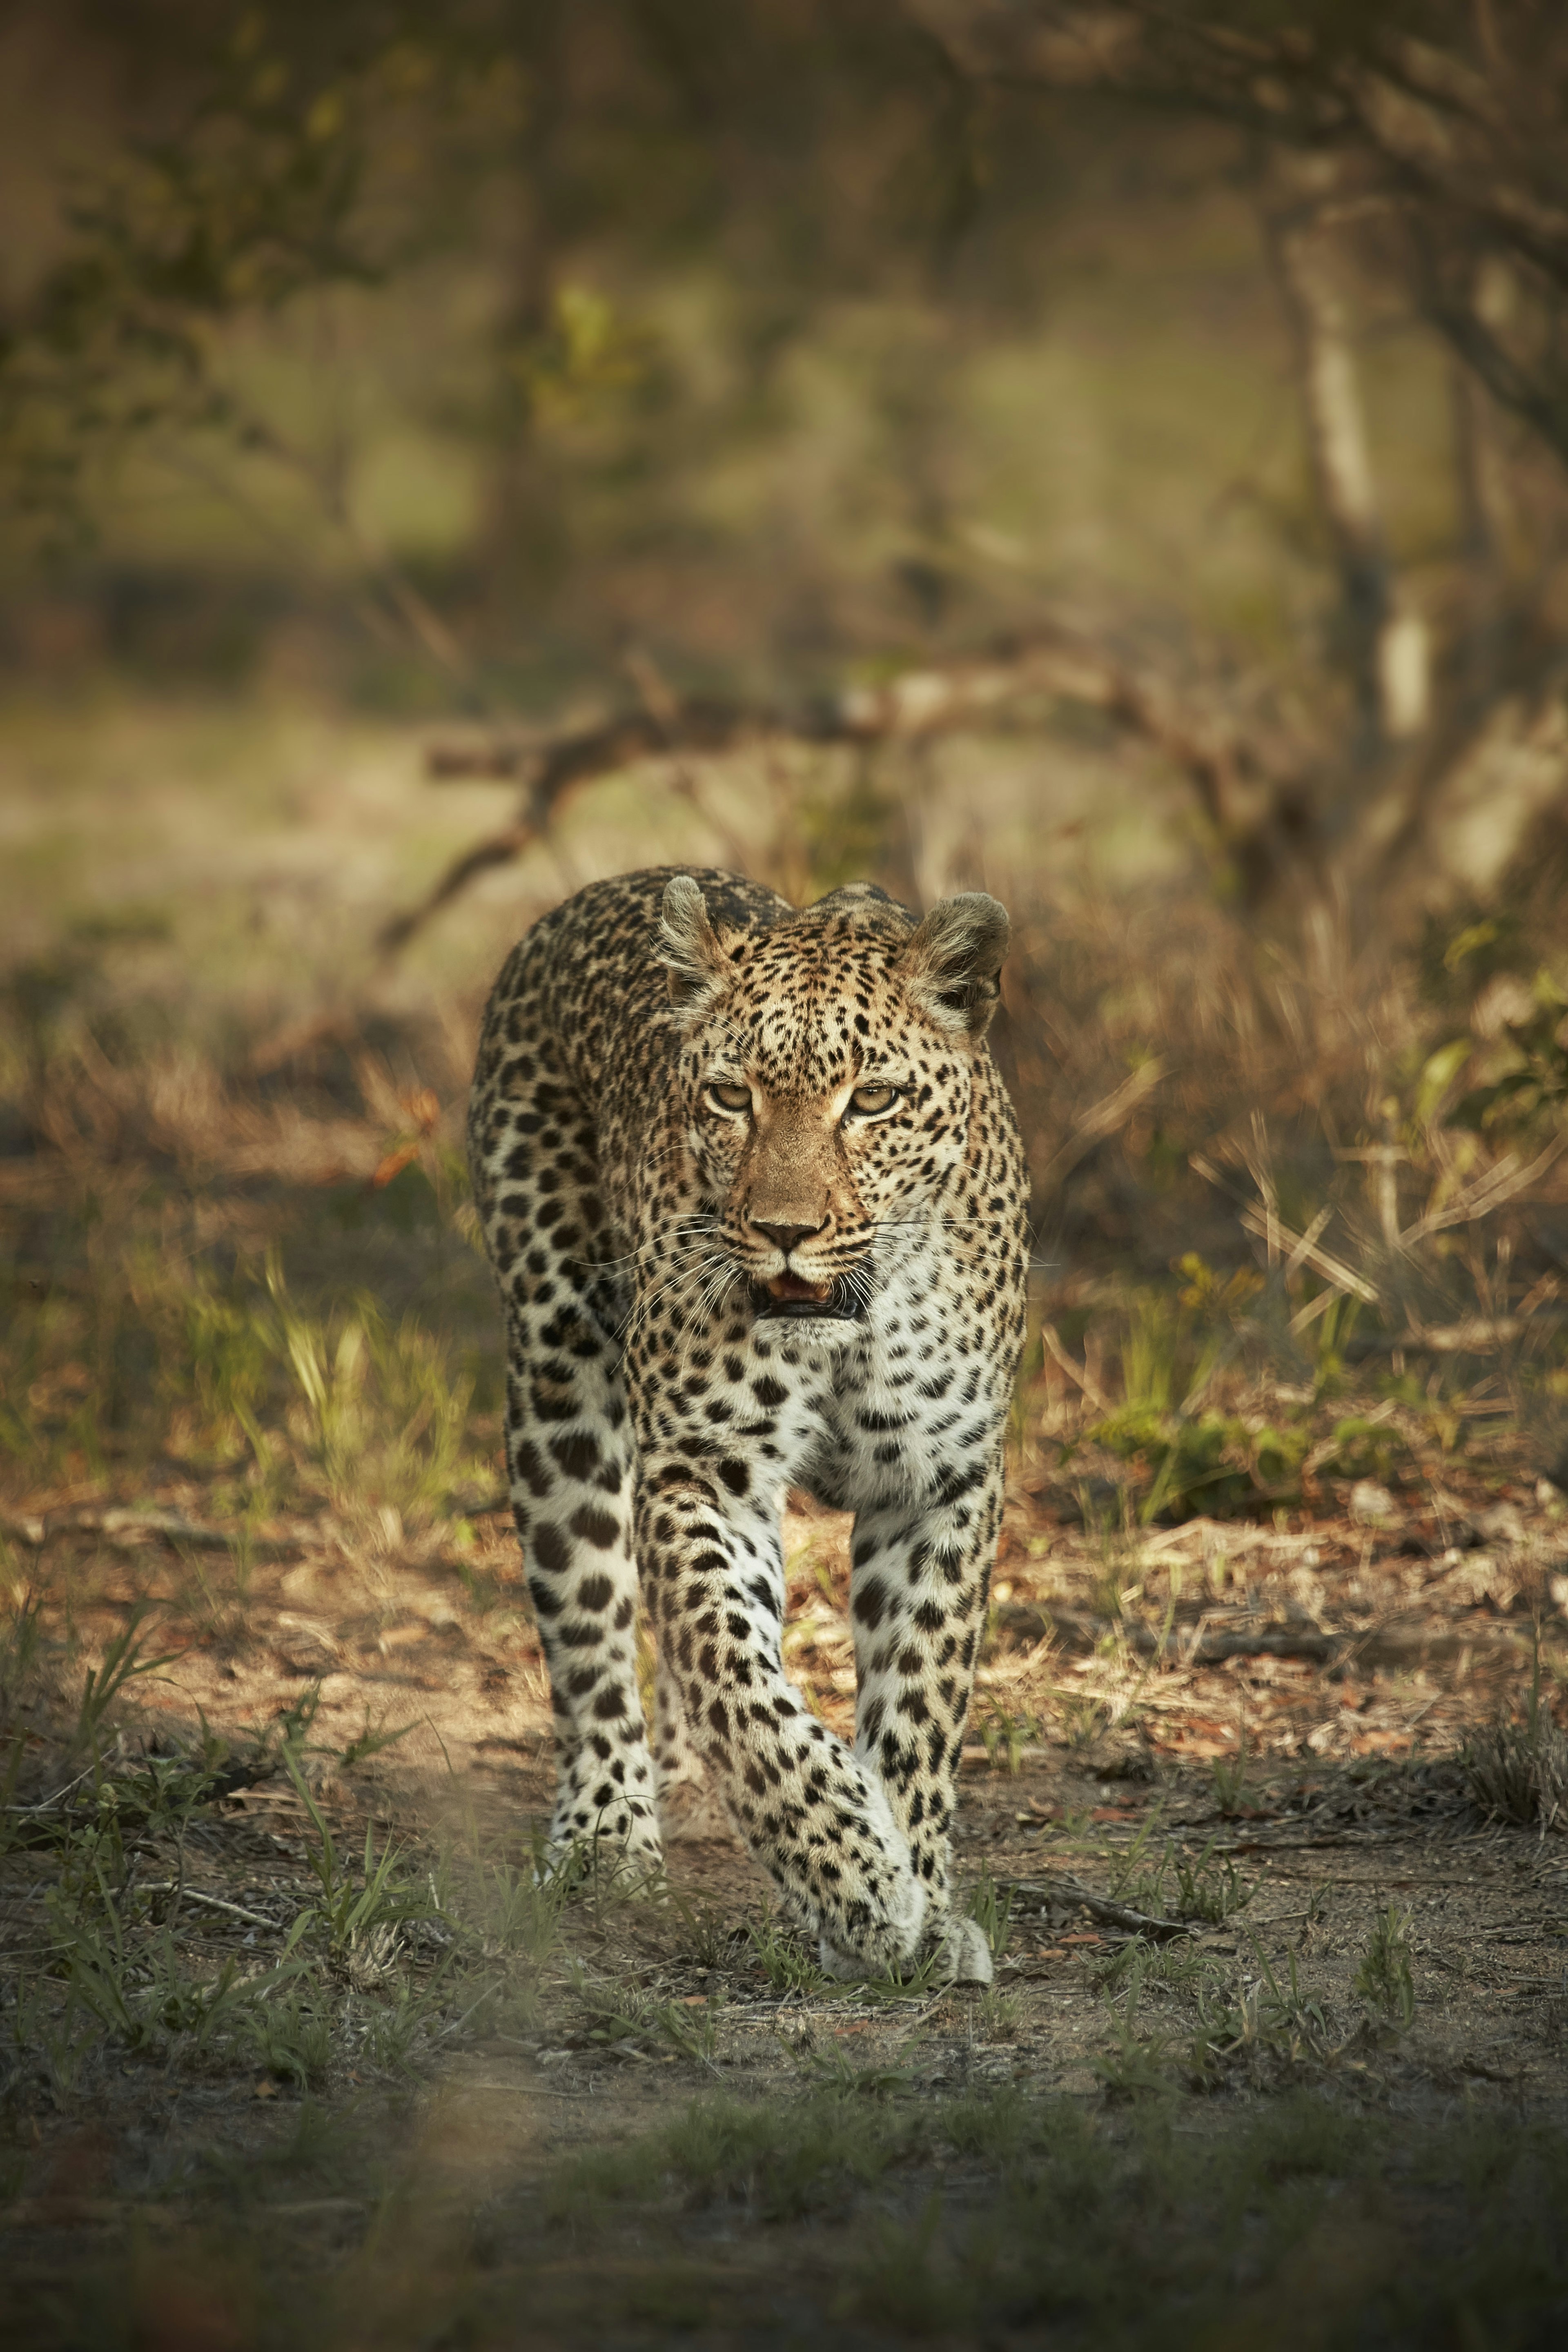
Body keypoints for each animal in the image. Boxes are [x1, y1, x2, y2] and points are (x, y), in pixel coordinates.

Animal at [465, 865, 1029, 1985]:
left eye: (872, 1100)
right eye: (733, 1096)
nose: (784, 1231)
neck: (856, 1322)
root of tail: (586, 898)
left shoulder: (943, 1483)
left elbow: (921, 1698)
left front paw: (923, 1897)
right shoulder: (704, 1468)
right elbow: (738, 1677)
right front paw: (853, 1878)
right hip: (556, 1373)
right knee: (590, 1628)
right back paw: (607, 1834)